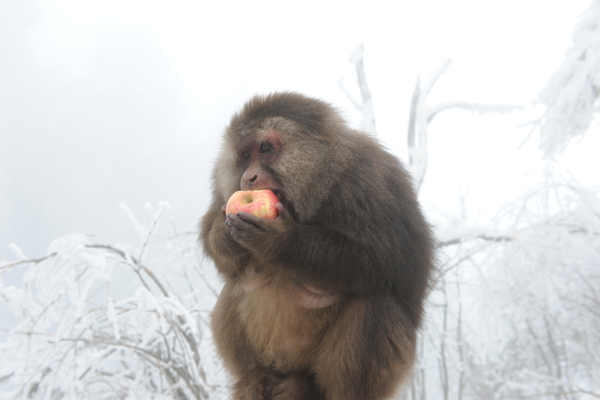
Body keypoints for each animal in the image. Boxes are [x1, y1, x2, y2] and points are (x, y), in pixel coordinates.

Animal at [200, 91, 432, 400]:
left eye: (265, 148)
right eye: (245, 155)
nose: (248, 178)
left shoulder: (372, 181)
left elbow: (389, 262)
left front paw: (281, 241)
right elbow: (216, 241)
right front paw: (224, 237)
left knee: (376, 302)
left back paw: (312, 387)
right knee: (235, 285)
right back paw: (256, 376)